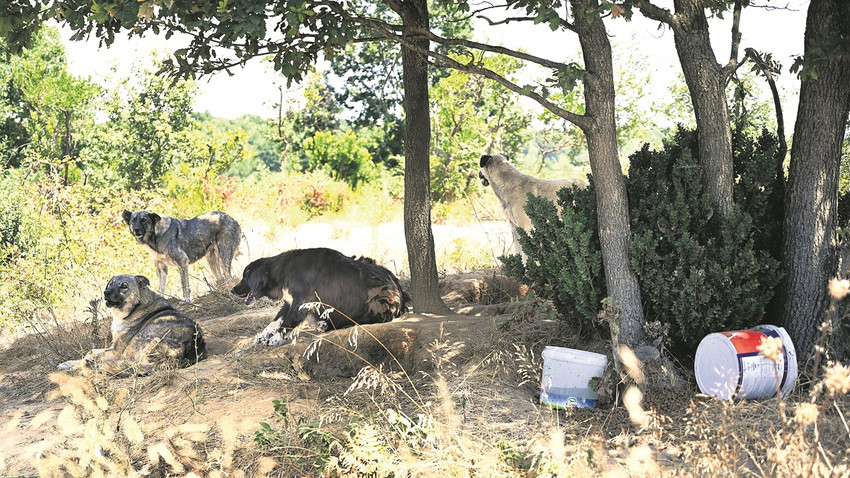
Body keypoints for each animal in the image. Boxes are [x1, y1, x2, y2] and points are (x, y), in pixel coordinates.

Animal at [58, 276, 207, 378]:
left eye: (124, 286)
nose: (106, 292)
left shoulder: (116, 350)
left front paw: (76, 365)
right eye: (111, 283)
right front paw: (67, 363)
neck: (136, 306)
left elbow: (90, 352)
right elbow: (89, 353)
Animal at [229, 246, 408, 348]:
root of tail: (400, 290)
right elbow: (276, 320)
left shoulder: (302, 301)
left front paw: (274, 339)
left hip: (377, 299)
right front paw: (262, 335)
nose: (232, 290)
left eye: (245, 277)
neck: (282, 272)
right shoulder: (290, 301)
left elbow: (287, 322)